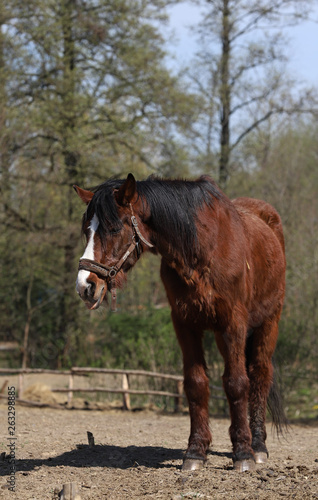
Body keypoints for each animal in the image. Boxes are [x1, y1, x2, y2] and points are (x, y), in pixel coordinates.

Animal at [74, 173, 286, 472]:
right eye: (86, 230)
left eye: (114, 229)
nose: (85, 287)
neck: (202, 249)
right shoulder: (185, 323)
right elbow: (196, 384)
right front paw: (196, 451)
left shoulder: (233, 322)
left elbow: (236, 383)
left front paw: (243, 454)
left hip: (268, 322)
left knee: (259, 375)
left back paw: (257, 446)